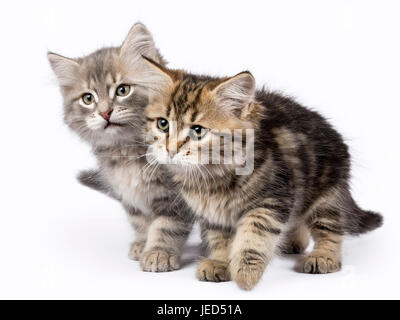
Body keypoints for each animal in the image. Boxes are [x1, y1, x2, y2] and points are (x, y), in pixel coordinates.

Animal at [47, 23, 195, 272]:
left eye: (123, 90)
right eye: (88, 98)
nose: (105, 112)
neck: (126, 150)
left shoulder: (176, 196)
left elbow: (167, 225)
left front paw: (159, 253)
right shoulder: (128, 195)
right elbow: (141, 222)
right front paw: (142, 244)